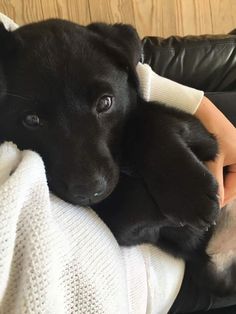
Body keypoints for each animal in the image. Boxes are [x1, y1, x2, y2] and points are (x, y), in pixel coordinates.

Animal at [0, 19, 232, 304]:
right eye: (31, 120)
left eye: (105, 103)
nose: (90, 190)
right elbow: (127, 215)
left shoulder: (205, 137)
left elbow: (146, 119)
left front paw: (189, 193)